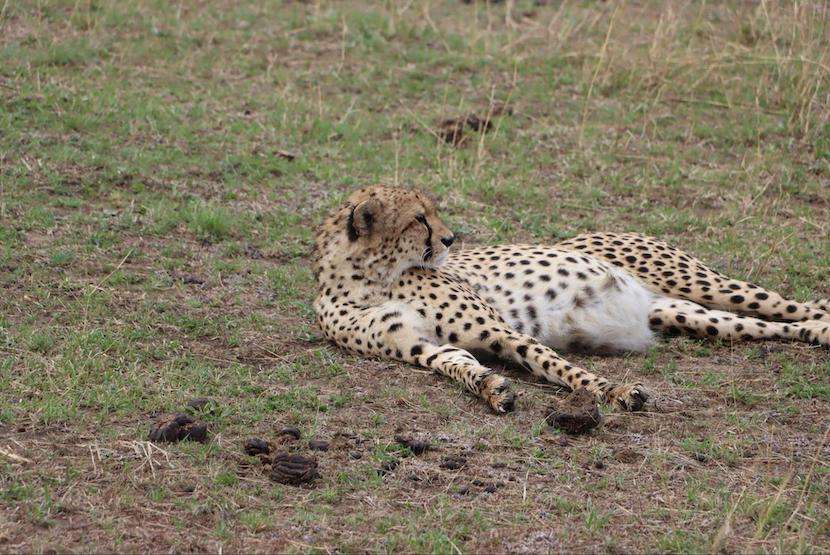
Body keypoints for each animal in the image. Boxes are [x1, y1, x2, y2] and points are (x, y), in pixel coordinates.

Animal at [314, 187, 830, 412]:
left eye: (431, 214)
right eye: (418, 218)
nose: (450, 238)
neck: (367, 278)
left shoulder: (500, 330)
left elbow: (559, 366)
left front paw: (615, 391)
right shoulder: (423, 346)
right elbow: (458, 364)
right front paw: (491, 387)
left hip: (699, 282)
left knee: (792, 305)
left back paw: (820, 321)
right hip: (688, 314)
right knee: (765, 326)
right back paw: (815, 333)